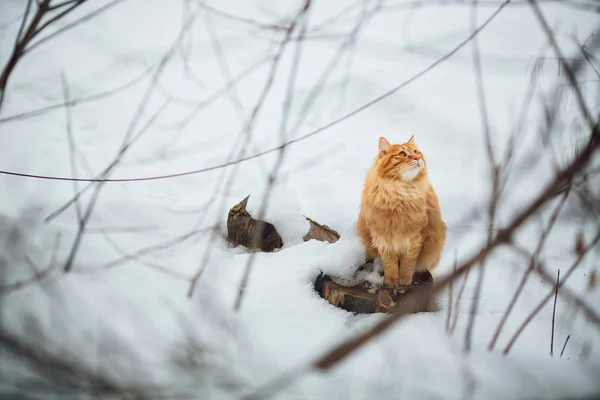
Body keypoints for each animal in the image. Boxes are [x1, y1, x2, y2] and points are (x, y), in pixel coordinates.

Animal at [356, 136, 446, 286]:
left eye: (416, 151)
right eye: (402, 154)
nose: (417, 157)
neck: (400, 194)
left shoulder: (415, 238)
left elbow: (407, 263)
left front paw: (404, 280)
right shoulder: (383, 238)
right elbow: (390, 264)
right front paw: (391, 282)